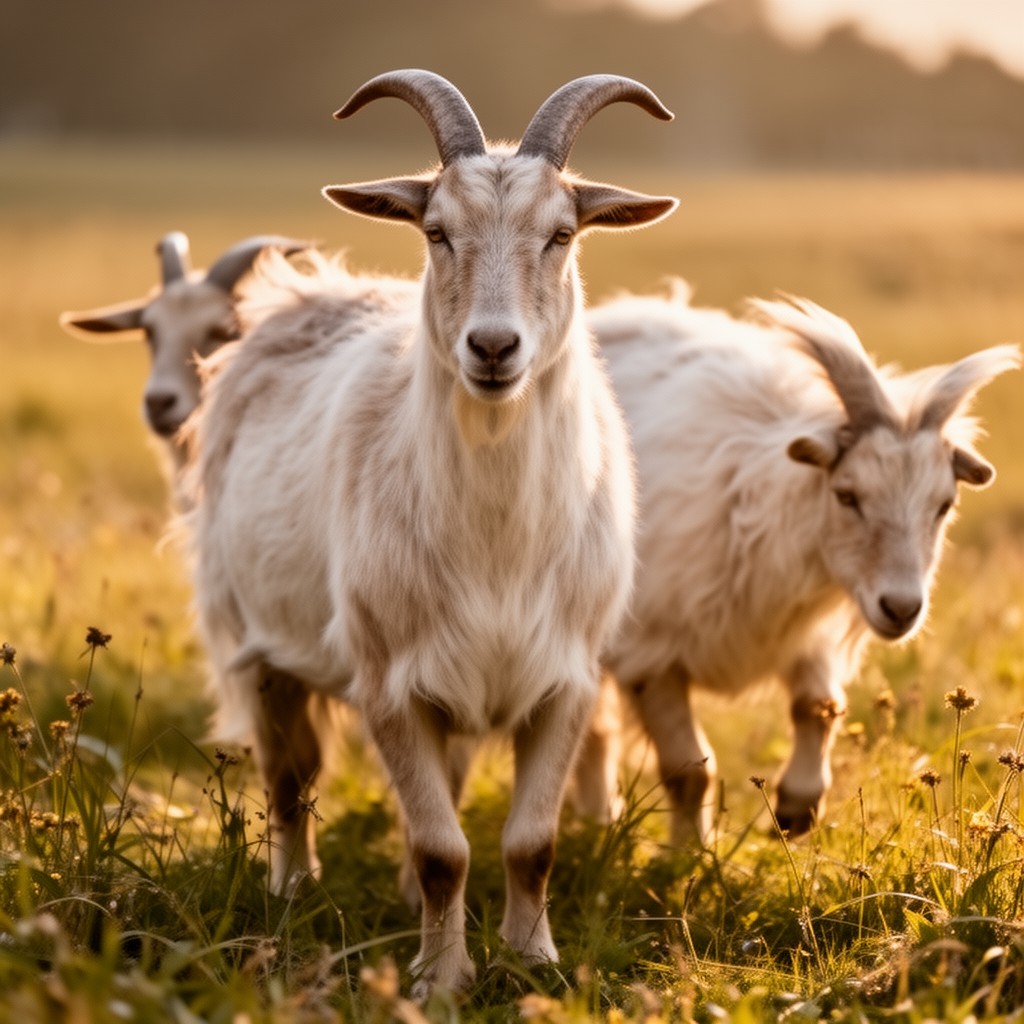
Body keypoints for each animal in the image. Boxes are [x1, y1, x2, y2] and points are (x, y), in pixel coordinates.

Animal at [186, 70, 676, 993]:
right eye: (437, 231)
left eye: (562, 234)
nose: (492, 348)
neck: (497, 545)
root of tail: (305, 296)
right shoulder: (390, 681)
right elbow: (443, 845)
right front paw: (440, 979)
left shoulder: (565, 679)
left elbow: (529, 843)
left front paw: (531, 960)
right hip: (261, 642)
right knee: (289, 776)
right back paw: (291, 890)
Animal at [583, 286, 1019, 839]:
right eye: (847, 495)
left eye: (944, 505)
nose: (901, 609)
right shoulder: (652, 654)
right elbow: (690, 774)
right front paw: (688, 854)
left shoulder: (810, 639)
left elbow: (818, 709)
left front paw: (794, 811)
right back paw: (597, 817)